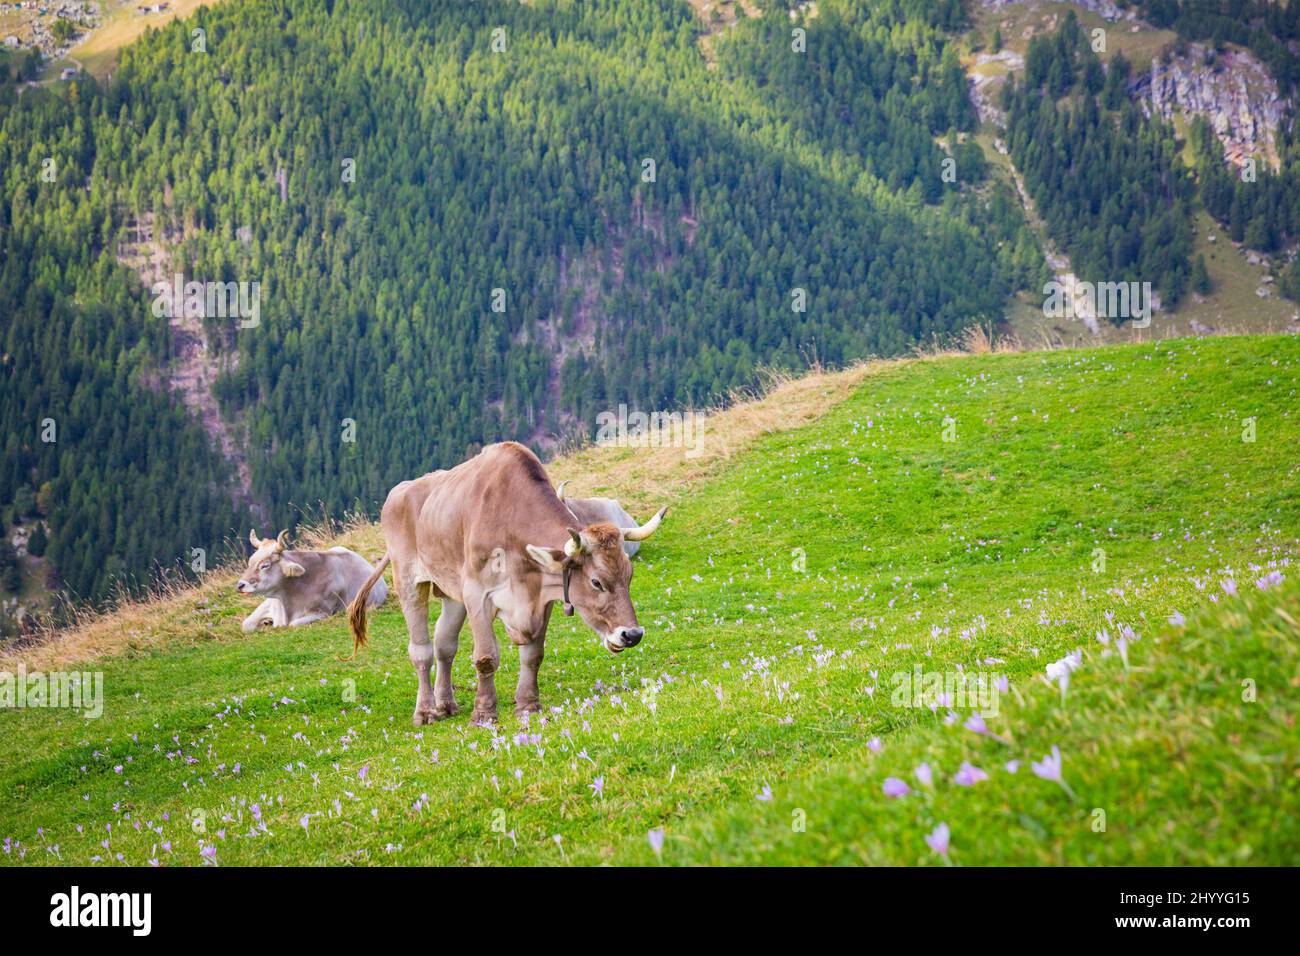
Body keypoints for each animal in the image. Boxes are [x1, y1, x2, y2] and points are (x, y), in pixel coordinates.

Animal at [237, 530, 388, 632]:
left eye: (265, 565)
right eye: (250, 561)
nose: (240, 585)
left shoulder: (323, 612)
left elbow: (293, 624)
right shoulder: (270, 602)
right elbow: (246, 624)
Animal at [346, 442, 667, 726]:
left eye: (629, 575)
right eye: (596, 582)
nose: (632, 634)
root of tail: (398, 492)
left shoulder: (541, 597)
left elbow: (533, 655)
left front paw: (528, 707)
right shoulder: (477, 594)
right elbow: (486, 658)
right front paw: (483, 715)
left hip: (452, 593)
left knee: (444, 645)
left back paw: (446, 704)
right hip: (409, 581)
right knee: (421, 650)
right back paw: (425, 711)